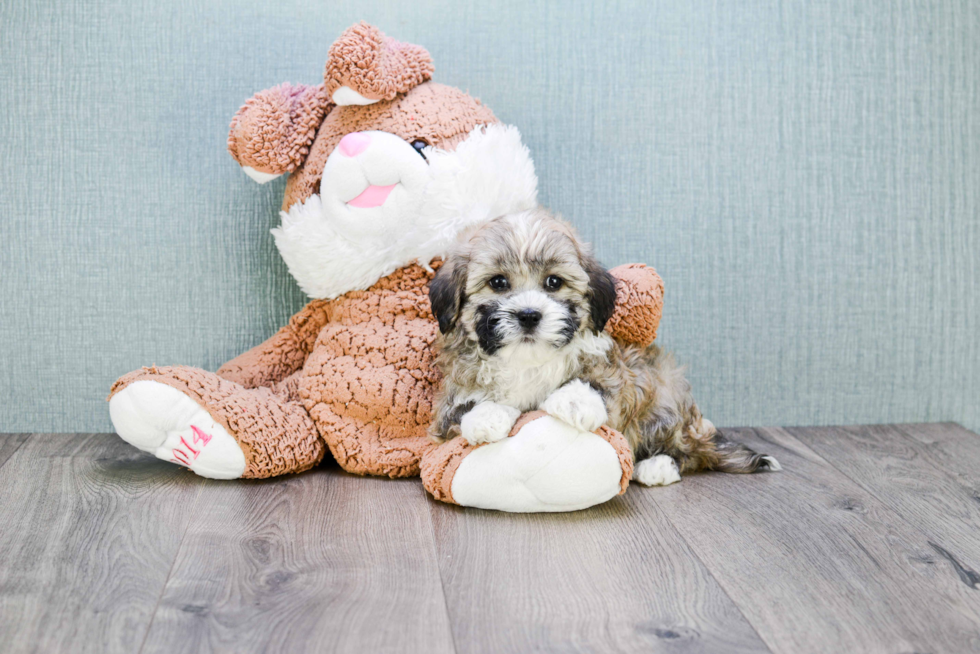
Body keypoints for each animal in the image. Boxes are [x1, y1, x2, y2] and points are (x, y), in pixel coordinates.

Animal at [428, 209, 780, 486]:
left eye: (553, 282)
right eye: (498, 282)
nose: (529, 315)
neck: (528, 360)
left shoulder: (618, 371)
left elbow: (601, 384)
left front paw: (575, 401)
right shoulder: (448, 402)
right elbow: (461, 407)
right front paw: (485, 416)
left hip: (665, 392)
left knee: (685, 450)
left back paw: (658, 465)